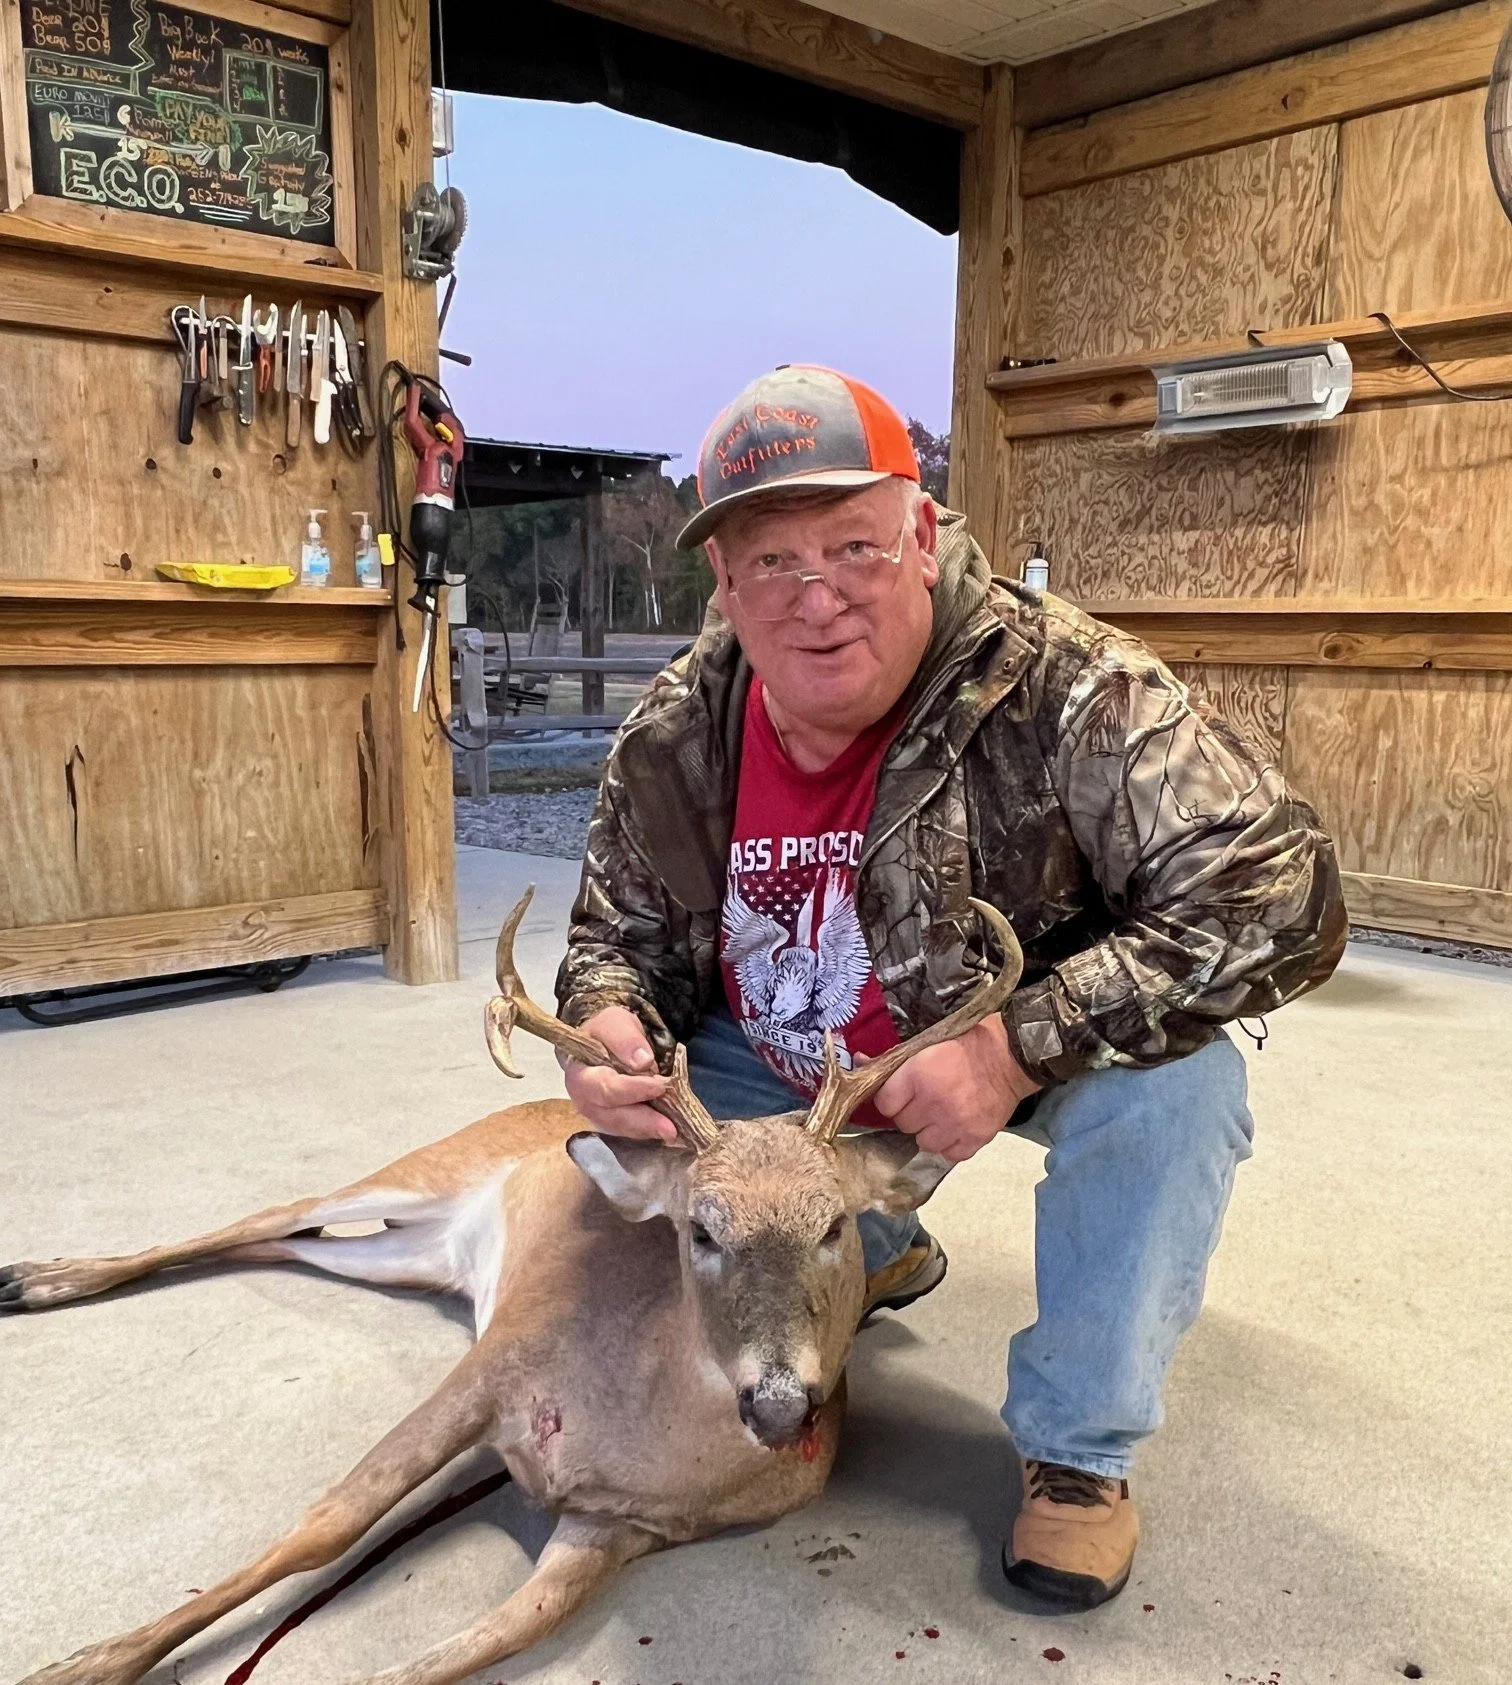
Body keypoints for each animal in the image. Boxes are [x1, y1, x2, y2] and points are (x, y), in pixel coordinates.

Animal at [3, 887, 1022, 1685]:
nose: (779, 1404)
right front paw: (82, 1662)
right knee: (276, 1211)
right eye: (699, 1229)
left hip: (415, 1251)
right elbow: (331, 1521)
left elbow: (486, 1638)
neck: (638, 1410)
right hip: (427, 1168)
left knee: (292, 1242)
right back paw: (39, 1277)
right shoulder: (491, 1368)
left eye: (834, 1225)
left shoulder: (622, 1525)